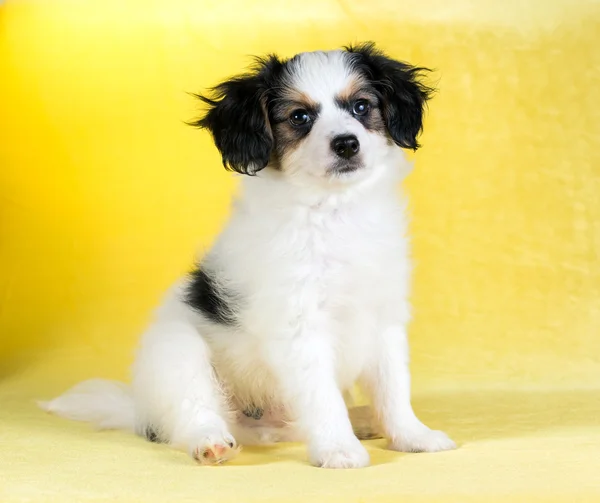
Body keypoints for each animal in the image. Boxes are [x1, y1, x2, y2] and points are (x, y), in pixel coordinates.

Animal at [41, 42, 454, 468]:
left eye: (361, 106)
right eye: (299, 117)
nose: (346, 143)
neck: (333, 211)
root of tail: (141, 409)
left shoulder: (385, 315)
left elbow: (393, 387)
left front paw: (412, 436)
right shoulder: (298, 326)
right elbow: (322, 397)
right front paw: (338, 449)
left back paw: (363, 419)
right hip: (178, 354)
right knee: (193, 415)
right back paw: (211, 442)